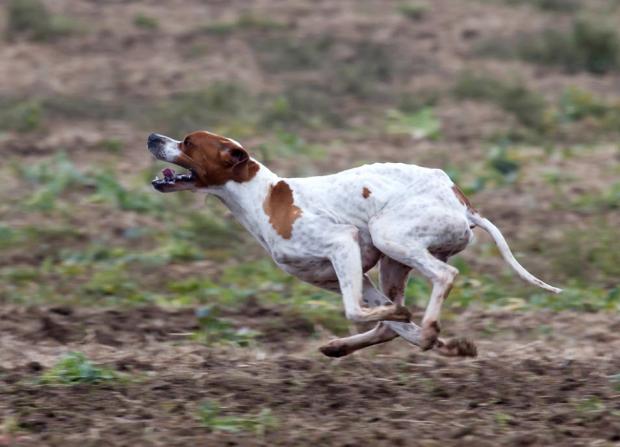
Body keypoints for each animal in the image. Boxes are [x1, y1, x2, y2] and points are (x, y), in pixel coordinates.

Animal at [147, 131, 560, 358]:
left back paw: (428, 327)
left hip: (388, 235)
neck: (262, 197)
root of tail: (462, 201)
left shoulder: (342, 245)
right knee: (392, 322)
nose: (152, 137)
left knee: (445, 275)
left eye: (187, 142)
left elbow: (355, 310)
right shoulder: (341, 276)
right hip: (392, 262)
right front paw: (442, 342)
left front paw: (418, 327)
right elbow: (387, 321)